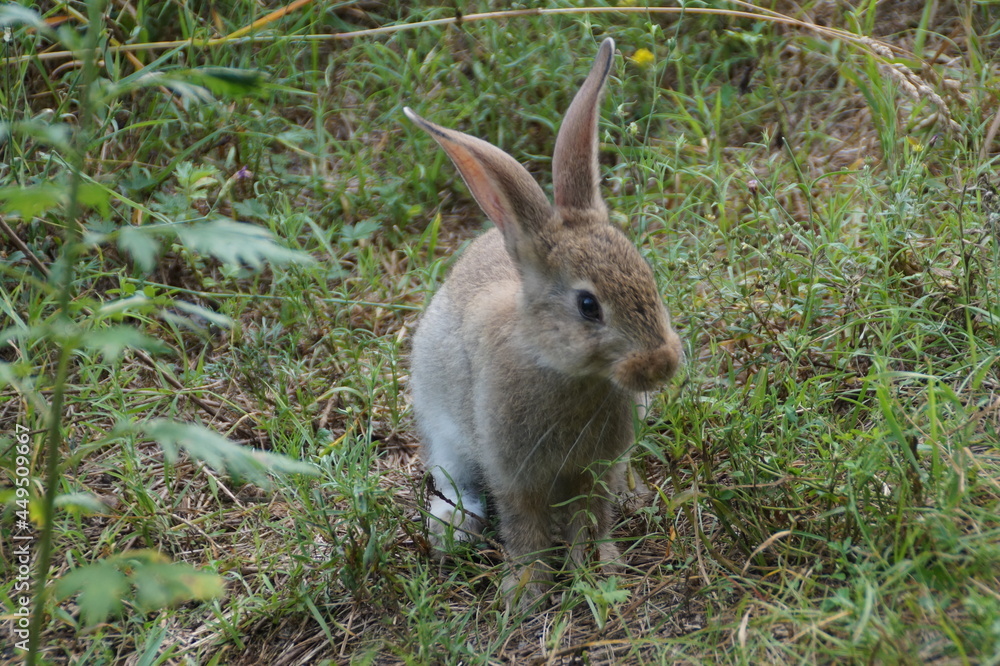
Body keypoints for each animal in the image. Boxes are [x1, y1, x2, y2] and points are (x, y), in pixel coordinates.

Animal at [404, 37, 683, 609]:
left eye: (648, 276)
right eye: (588, 305)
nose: (661, 365)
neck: (562, 370)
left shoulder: (592, 470)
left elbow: (590, 520)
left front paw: (597, 571)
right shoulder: (514, 473)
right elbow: (525, 529)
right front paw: (527, 591)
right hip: (441, 426)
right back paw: (452, 529)